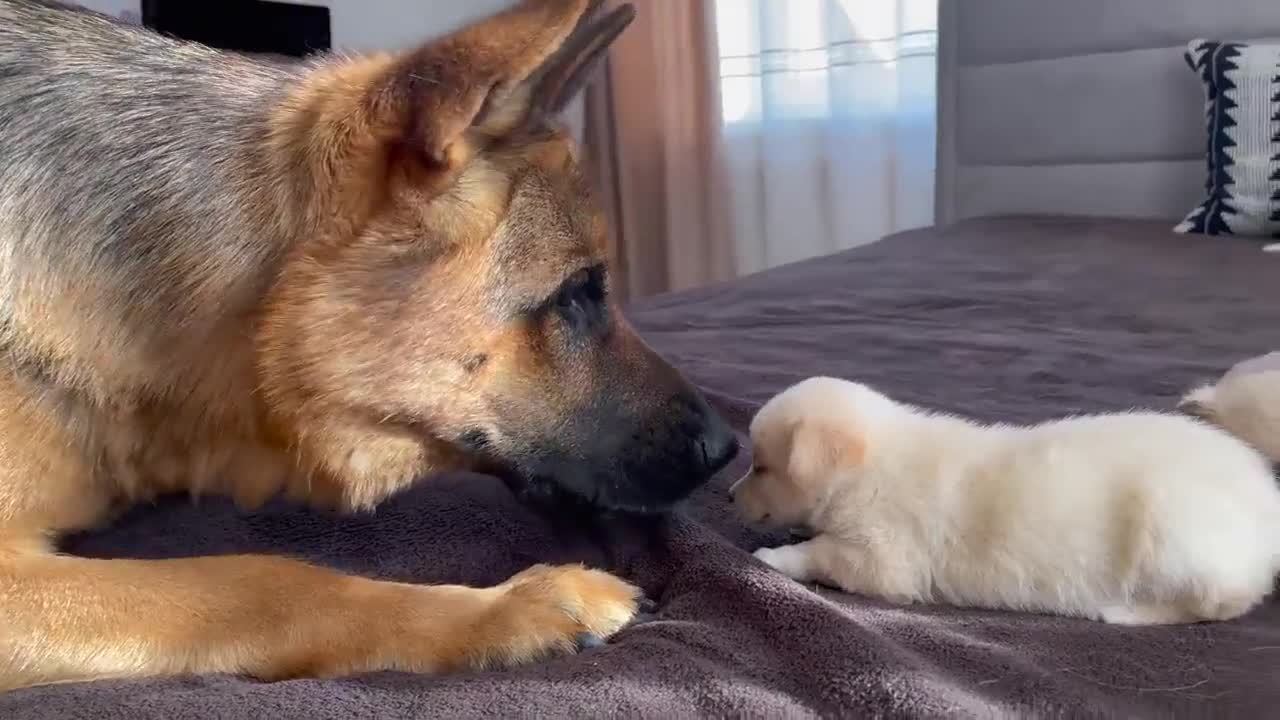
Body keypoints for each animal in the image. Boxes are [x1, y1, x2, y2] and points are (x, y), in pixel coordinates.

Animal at [732, 376, 1280, 622]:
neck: (867, 467)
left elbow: (822, 553)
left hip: (1175, 536)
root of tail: (1267, 503)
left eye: (760, 466)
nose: (731, 494)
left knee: (1222, 602)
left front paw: (775, 556)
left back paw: (1126, 611)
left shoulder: (884, 558)